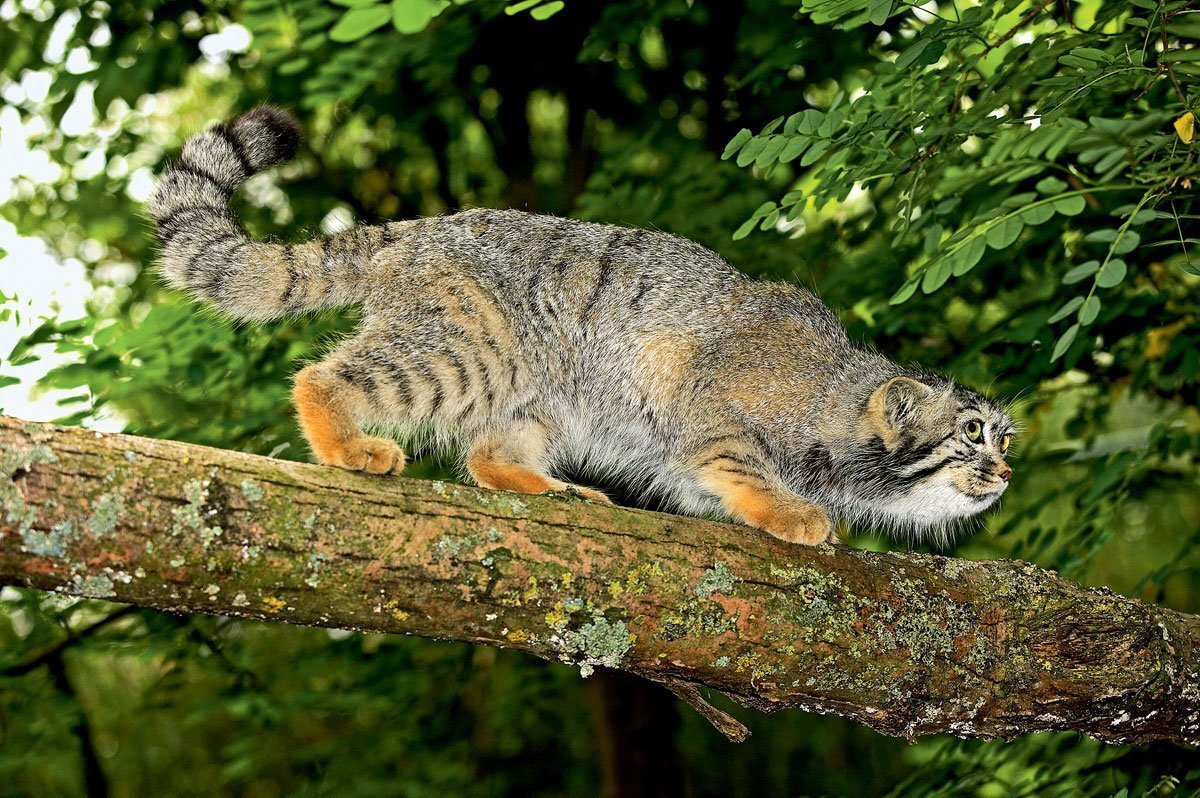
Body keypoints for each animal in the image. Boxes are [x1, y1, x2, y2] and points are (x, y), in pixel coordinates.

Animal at [147, 105, 1012, 544]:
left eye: (1005, 439)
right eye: (971, 434)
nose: (1004, 473)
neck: (833, 400)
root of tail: (417, 229)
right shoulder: (713, 412)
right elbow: (741, 467)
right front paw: (793, 514)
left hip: (547, 395)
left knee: (488, 453)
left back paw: (546, 484)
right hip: (467, 354)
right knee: (322, 374)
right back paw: (347, 446)